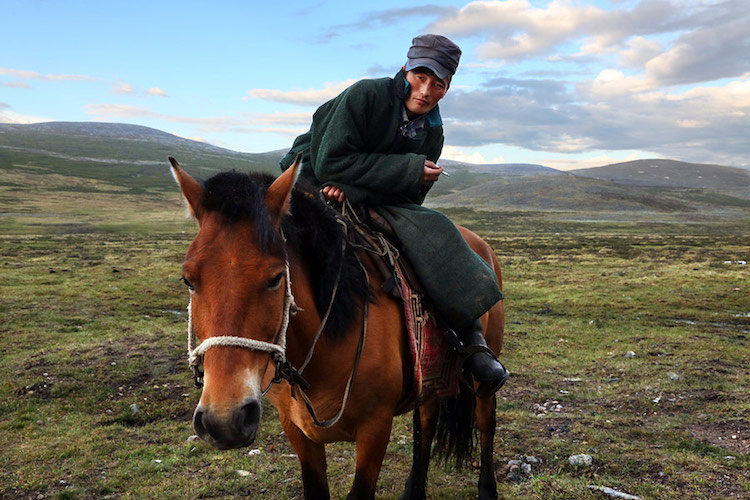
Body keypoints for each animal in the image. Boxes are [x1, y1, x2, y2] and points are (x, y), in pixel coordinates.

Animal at [170, 157, 508, 500]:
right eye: (188, 280)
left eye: (276, 277)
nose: (224, 420)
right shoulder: (296, 429)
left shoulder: (375, 428)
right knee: (426, 421)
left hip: (483, 371)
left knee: (485, 420)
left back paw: (487, 487)